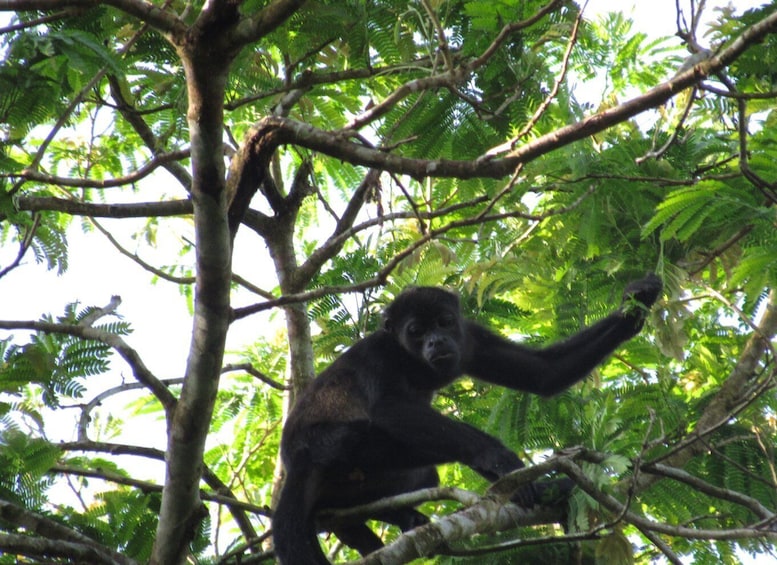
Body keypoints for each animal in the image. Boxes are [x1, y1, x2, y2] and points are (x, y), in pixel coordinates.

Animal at [272, 272, 660, 560]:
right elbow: (389, 409)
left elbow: (542, 372)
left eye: (444, 322)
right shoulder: (379, 353)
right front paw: (499, 456)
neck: (412, 362)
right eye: (416, 332)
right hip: (336, 446)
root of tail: (296, 459)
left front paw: (636, 303)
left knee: (422, 474)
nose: (435, 342)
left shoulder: (470, 336)